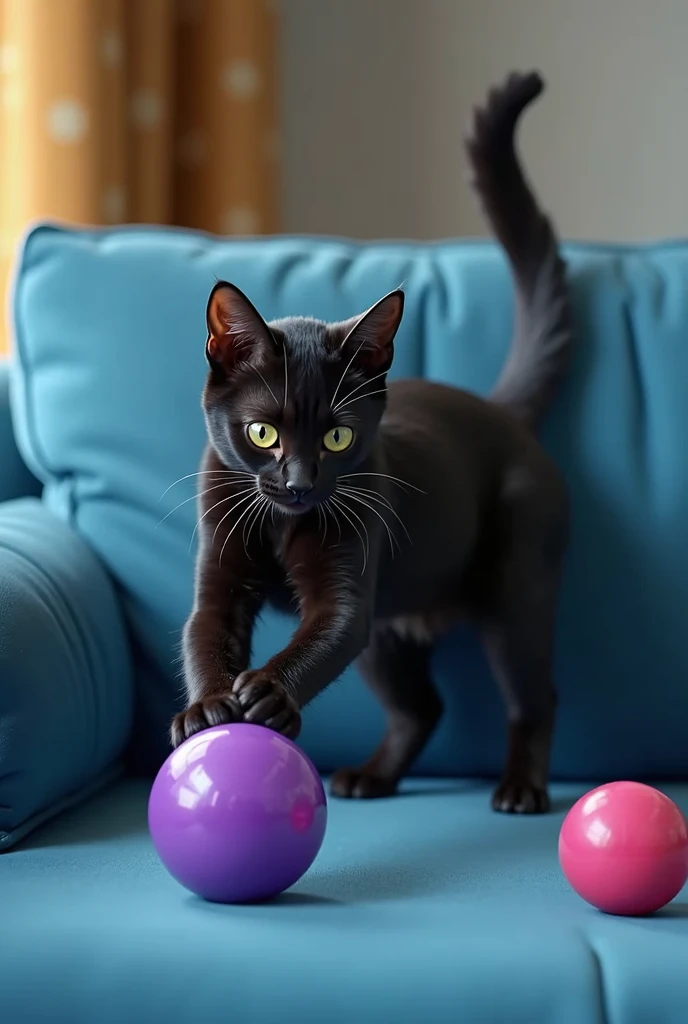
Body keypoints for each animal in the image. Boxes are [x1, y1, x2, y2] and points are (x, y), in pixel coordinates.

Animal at [172, 68, 569, 811]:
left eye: (336, 437)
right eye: (263, 432)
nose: (299, 484)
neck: (281, 524)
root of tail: (500, 411)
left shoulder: (350, 590)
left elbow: (327, 633)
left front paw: (267, 691)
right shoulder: (221, 568)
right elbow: (202, 632)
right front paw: (208, 708)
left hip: (515, 593)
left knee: (535, 695)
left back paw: (520, 789)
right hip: (392, 633)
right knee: (421, 707)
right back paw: (371, 778)